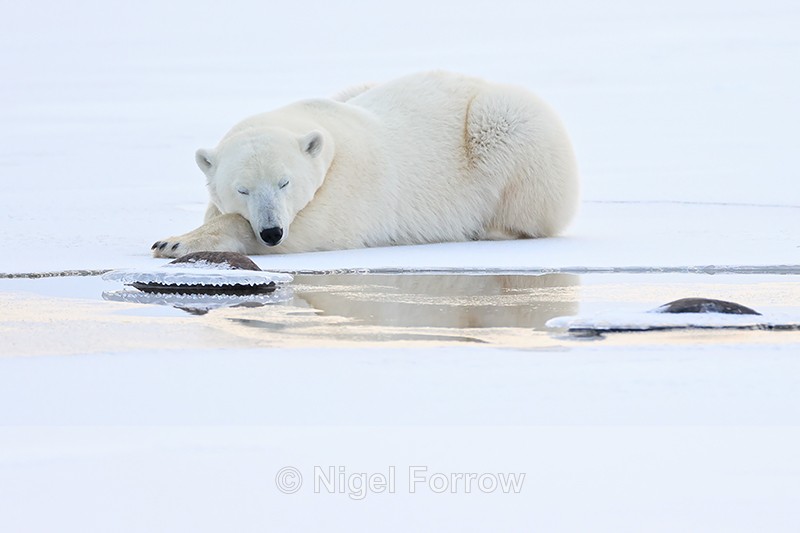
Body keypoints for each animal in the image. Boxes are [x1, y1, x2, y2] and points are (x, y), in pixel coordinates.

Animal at [152, 71, 579, 258]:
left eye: (285, 183)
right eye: (242, 189)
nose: (271, 231)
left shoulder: (347, 183)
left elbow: (312, 231)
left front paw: (172, 241)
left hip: (506, 125)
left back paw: (489, 229)